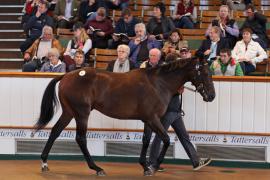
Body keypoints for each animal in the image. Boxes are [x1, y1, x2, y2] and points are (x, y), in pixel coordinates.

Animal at [33, 56, 215, 176]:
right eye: (204, 72)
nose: (212, 96)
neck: (158, 83)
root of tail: (66, 75)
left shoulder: (148, 120)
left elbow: (146, 141)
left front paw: (145, 166)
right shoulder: (153, 118)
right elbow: (165, 140)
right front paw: (154, 166)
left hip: (69, 112)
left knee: (55, 131)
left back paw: (44, 162)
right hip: (82, 113)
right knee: (80, 138)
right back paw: (97, 168)